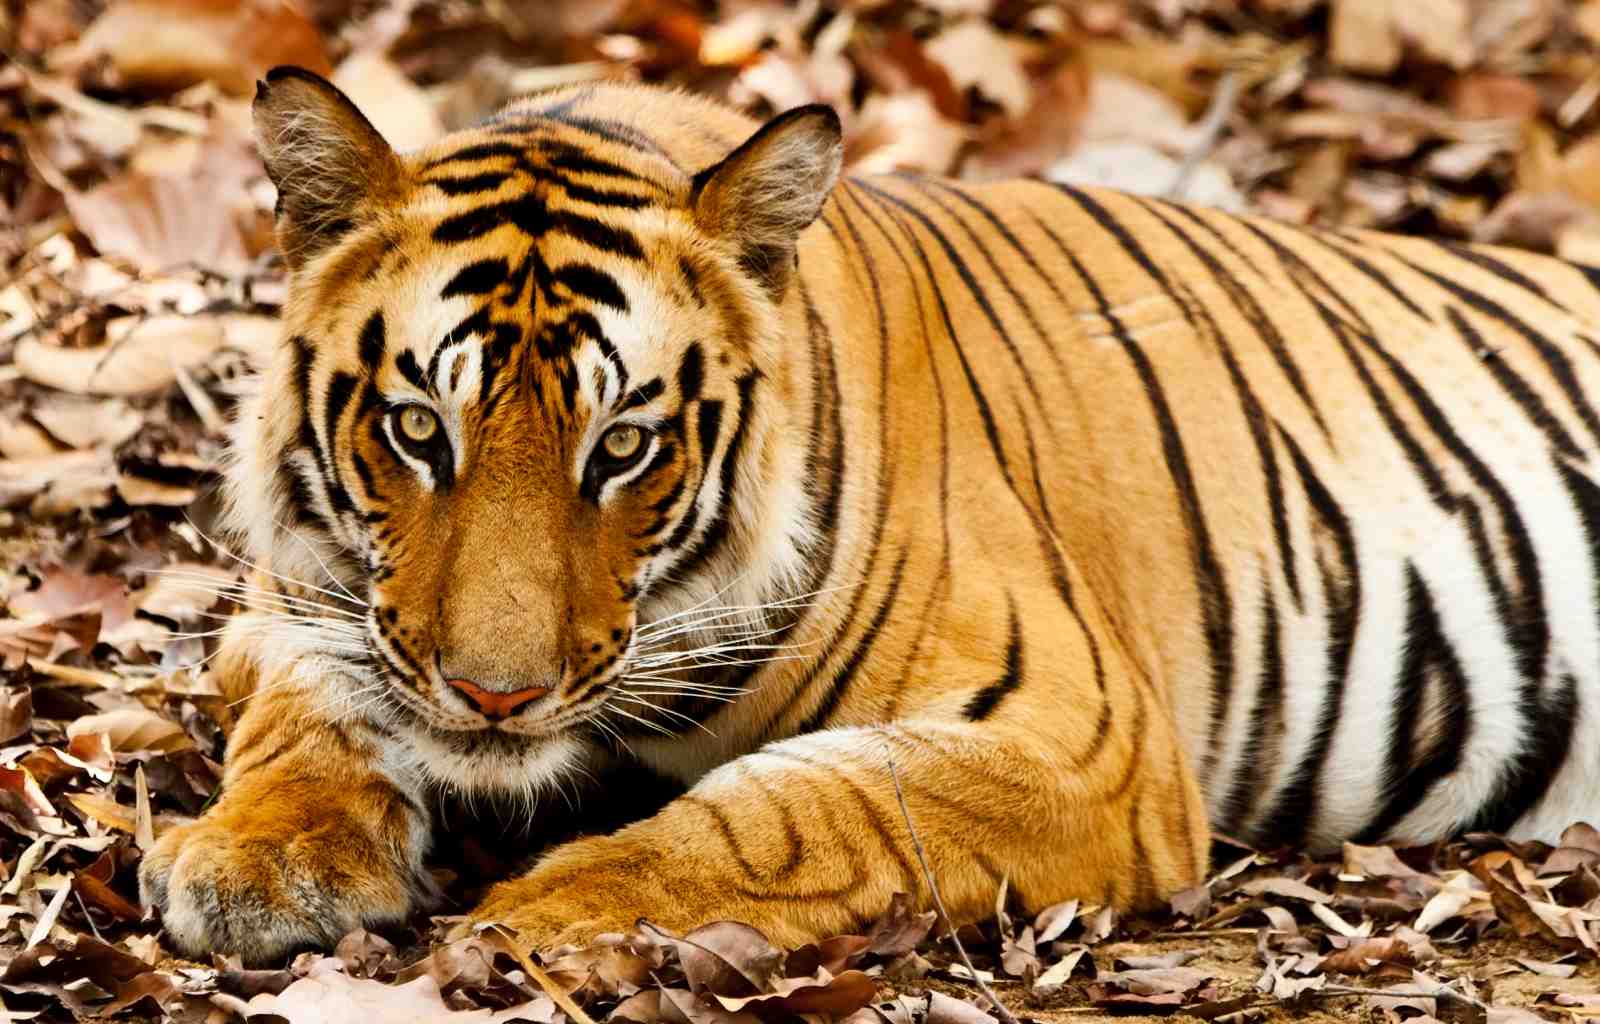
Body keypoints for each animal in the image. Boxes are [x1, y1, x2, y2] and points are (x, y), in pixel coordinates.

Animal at [137, 65, 1600, 965]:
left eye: (624, 446)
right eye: (417, 429)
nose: (497, 698)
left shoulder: (1085, 737)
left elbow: (803, 802)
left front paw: (556, 905)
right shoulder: (290, 600)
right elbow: (306, 715)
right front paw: (252, 860)